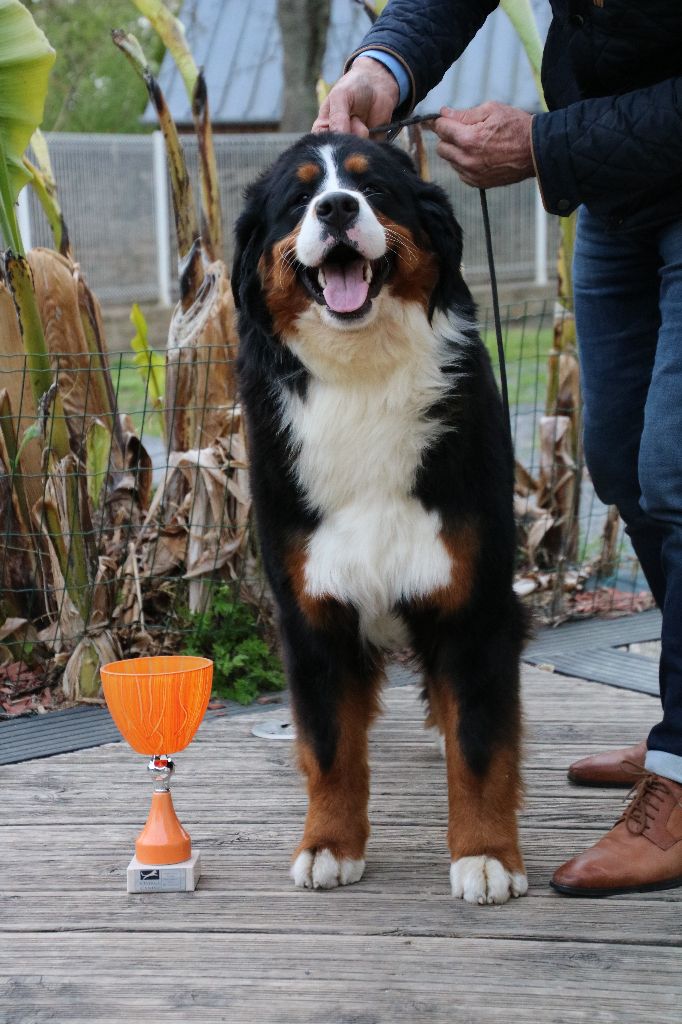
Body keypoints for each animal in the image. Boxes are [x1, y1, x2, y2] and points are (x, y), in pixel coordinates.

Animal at [232, 134, 524, 905]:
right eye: (300, 198)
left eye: (374, 190)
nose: (336, 208)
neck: (362, 379)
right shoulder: (312, 610)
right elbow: (331, 746)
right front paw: (329, 845)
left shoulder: (474, 605)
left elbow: (480, 746)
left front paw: (486, 855)